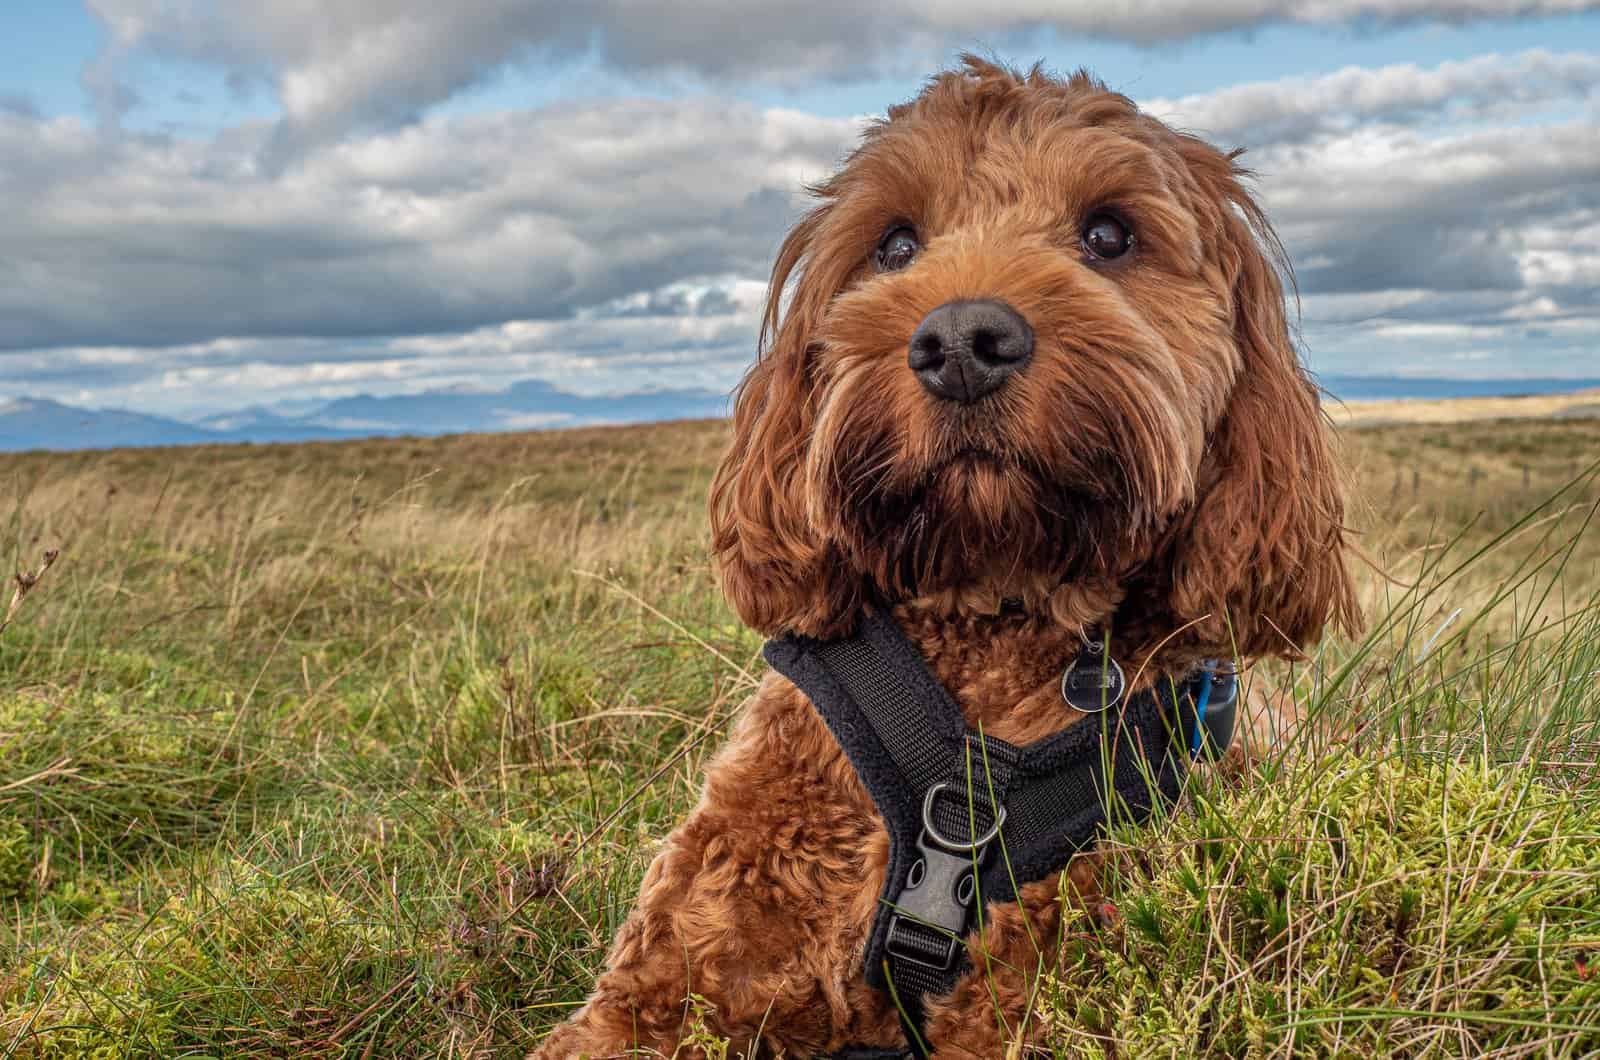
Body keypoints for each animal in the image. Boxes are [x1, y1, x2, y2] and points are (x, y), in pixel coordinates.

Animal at [534, 58, 1350, 1060]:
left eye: (1109, 234)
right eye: (895, 244)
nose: (962, 341)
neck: (987, 613)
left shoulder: (1045, 987)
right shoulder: (662, 983)